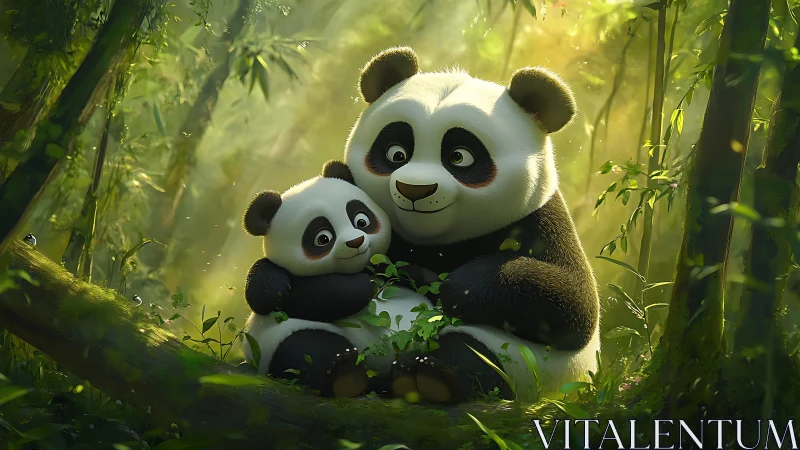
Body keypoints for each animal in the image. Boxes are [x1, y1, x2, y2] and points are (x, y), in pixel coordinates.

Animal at [241, 161, 433, 398]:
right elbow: (299, 296)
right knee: (307, 347)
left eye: (361, 220)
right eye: (323, 238)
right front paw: (364, 286)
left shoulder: (391, 261)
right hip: (279, 340)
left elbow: (415, 274)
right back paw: (345, 375)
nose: (356, 241)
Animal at [339, 47, 601, 403]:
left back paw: (425, 377)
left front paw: (454, 286)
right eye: (396, 153)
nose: (414, 190)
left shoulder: (541, 221)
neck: (437, 242)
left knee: (473, 354)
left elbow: (573, 303)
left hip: (528, 368)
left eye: (459, 156)